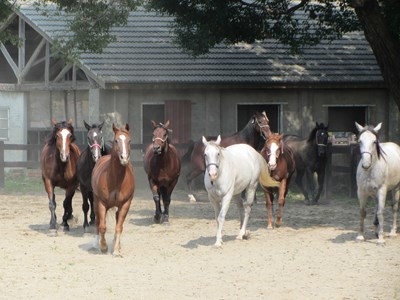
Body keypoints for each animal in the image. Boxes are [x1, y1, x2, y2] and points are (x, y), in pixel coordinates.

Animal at [90, 123, 134, 256]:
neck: (115, 180)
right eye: (116, 140)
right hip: (95, 202)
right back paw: (96, 244)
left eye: (129, 141)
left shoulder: (125, 204)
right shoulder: (101, 203)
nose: (124, 158)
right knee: (97, 222)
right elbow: (102, 226)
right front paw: (103, 247)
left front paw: (116, 250)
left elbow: (119, 227)